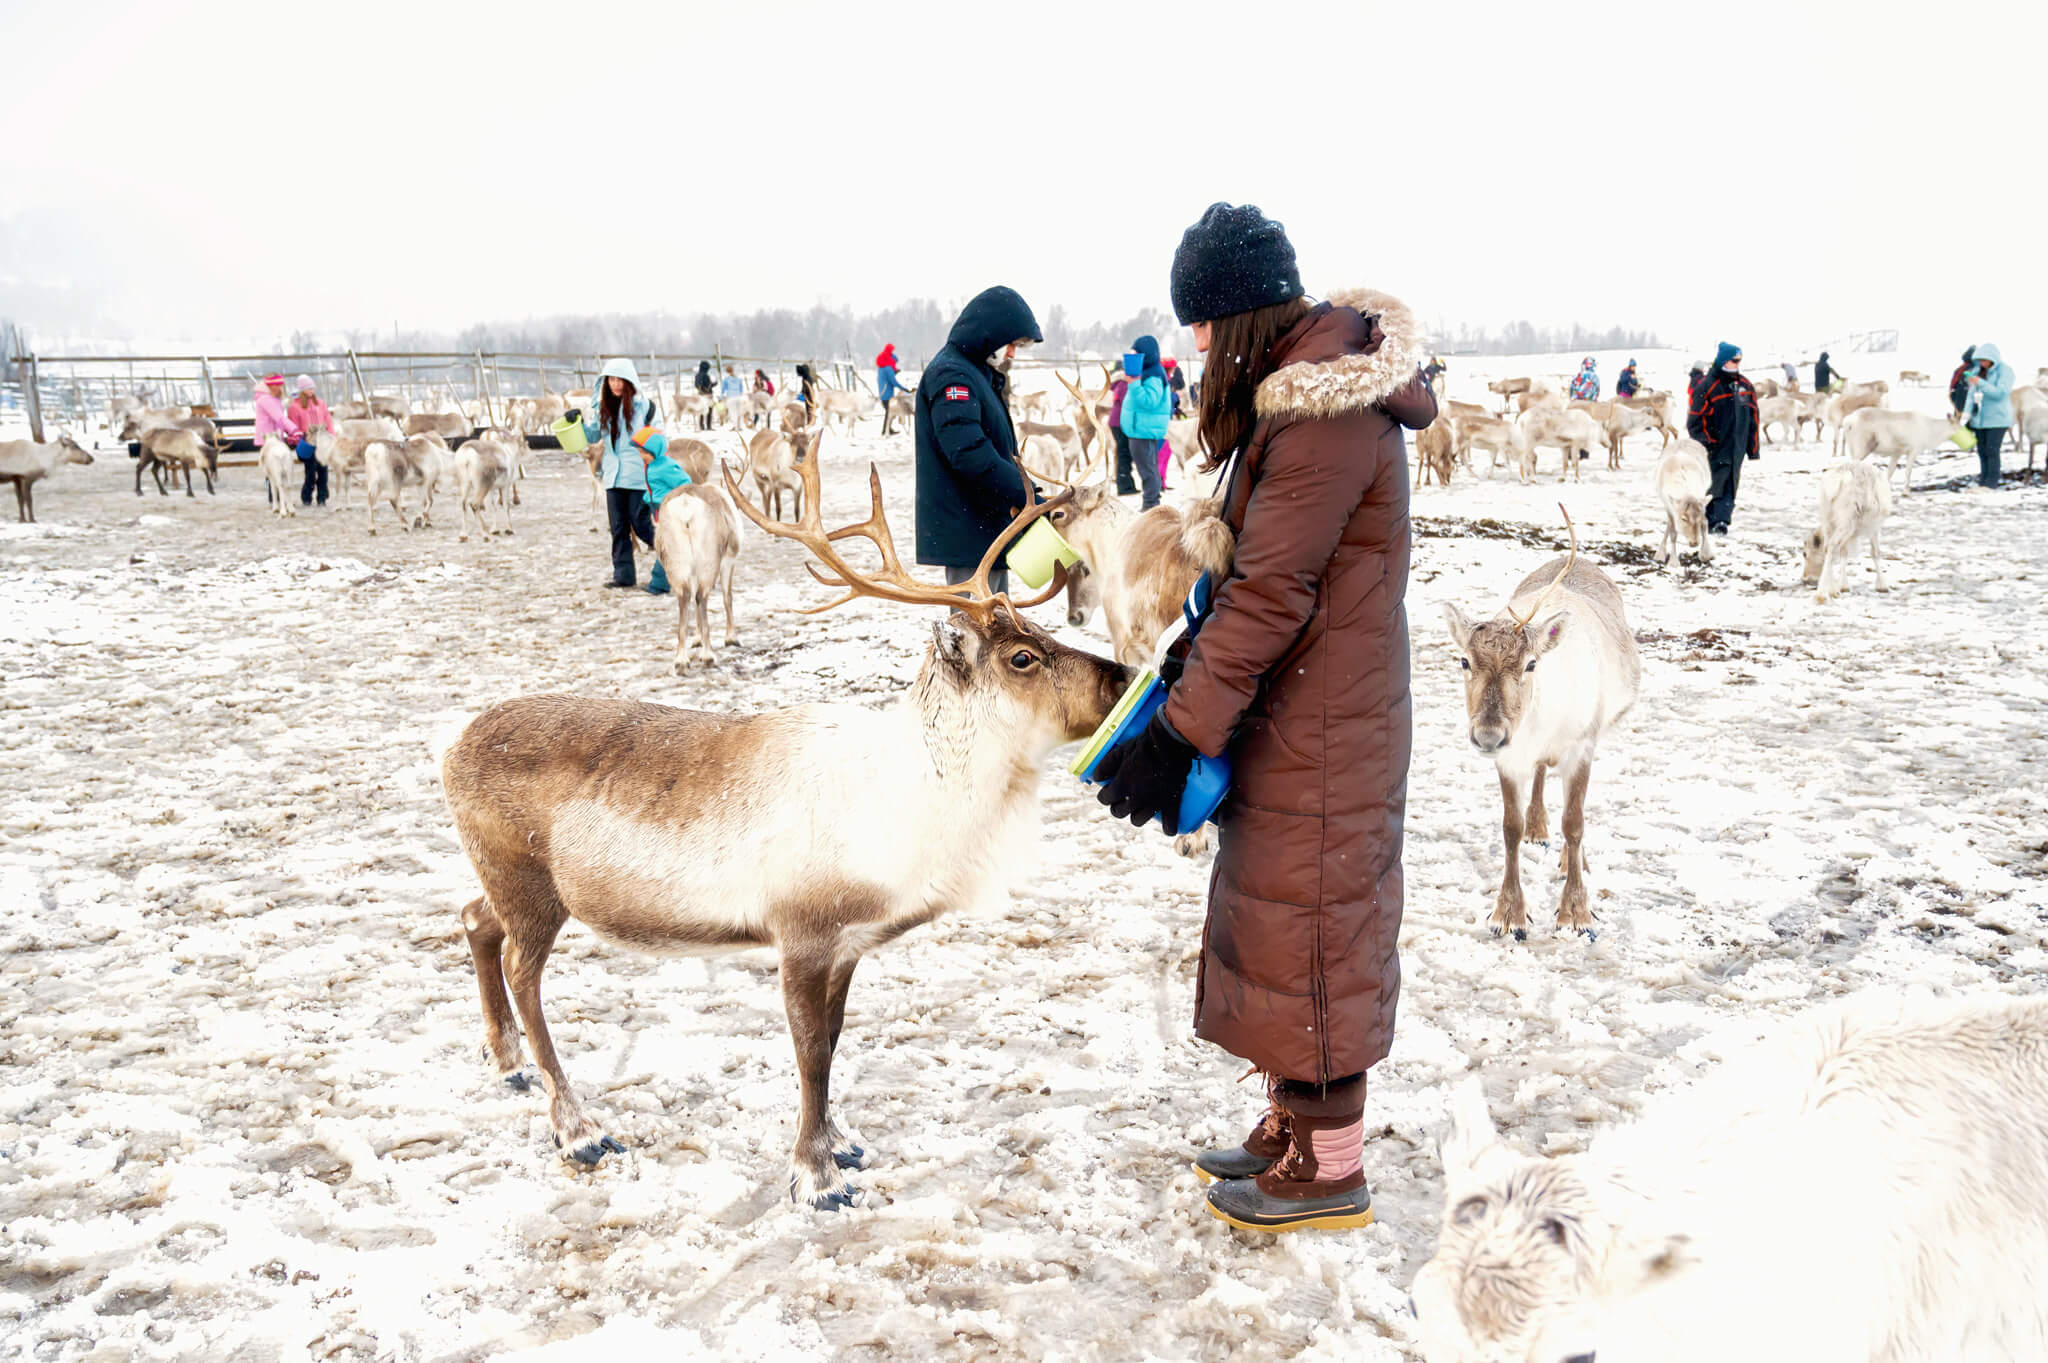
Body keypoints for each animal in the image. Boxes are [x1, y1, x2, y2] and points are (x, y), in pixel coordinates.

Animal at [440, 456, 1127, 1209]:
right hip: (531, 884)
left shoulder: (851, 943)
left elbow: (834, 1038)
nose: (1123, 672)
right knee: (521, 972)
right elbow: (808, 1053)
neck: (915, 807)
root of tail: (450, 750)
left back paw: (504, 1059)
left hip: (503, 881)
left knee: (474, 918)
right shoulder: (800, 932)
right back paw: (578, 1128)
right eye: (1023, 657)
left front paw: (842, 1142)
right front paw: (816, 1175)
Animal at [1442, 515, 1640, 940]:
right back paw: (1538, 827)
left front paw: (1576, 911)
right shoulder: (1510, 758)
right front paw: (1508, 912)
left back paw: (1570, 861)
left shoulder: (1582, 746)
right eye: (1464, 661)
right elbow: (1510, 828)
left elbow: (1575, 823)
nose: (1488, 735)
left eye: (1531, 663)